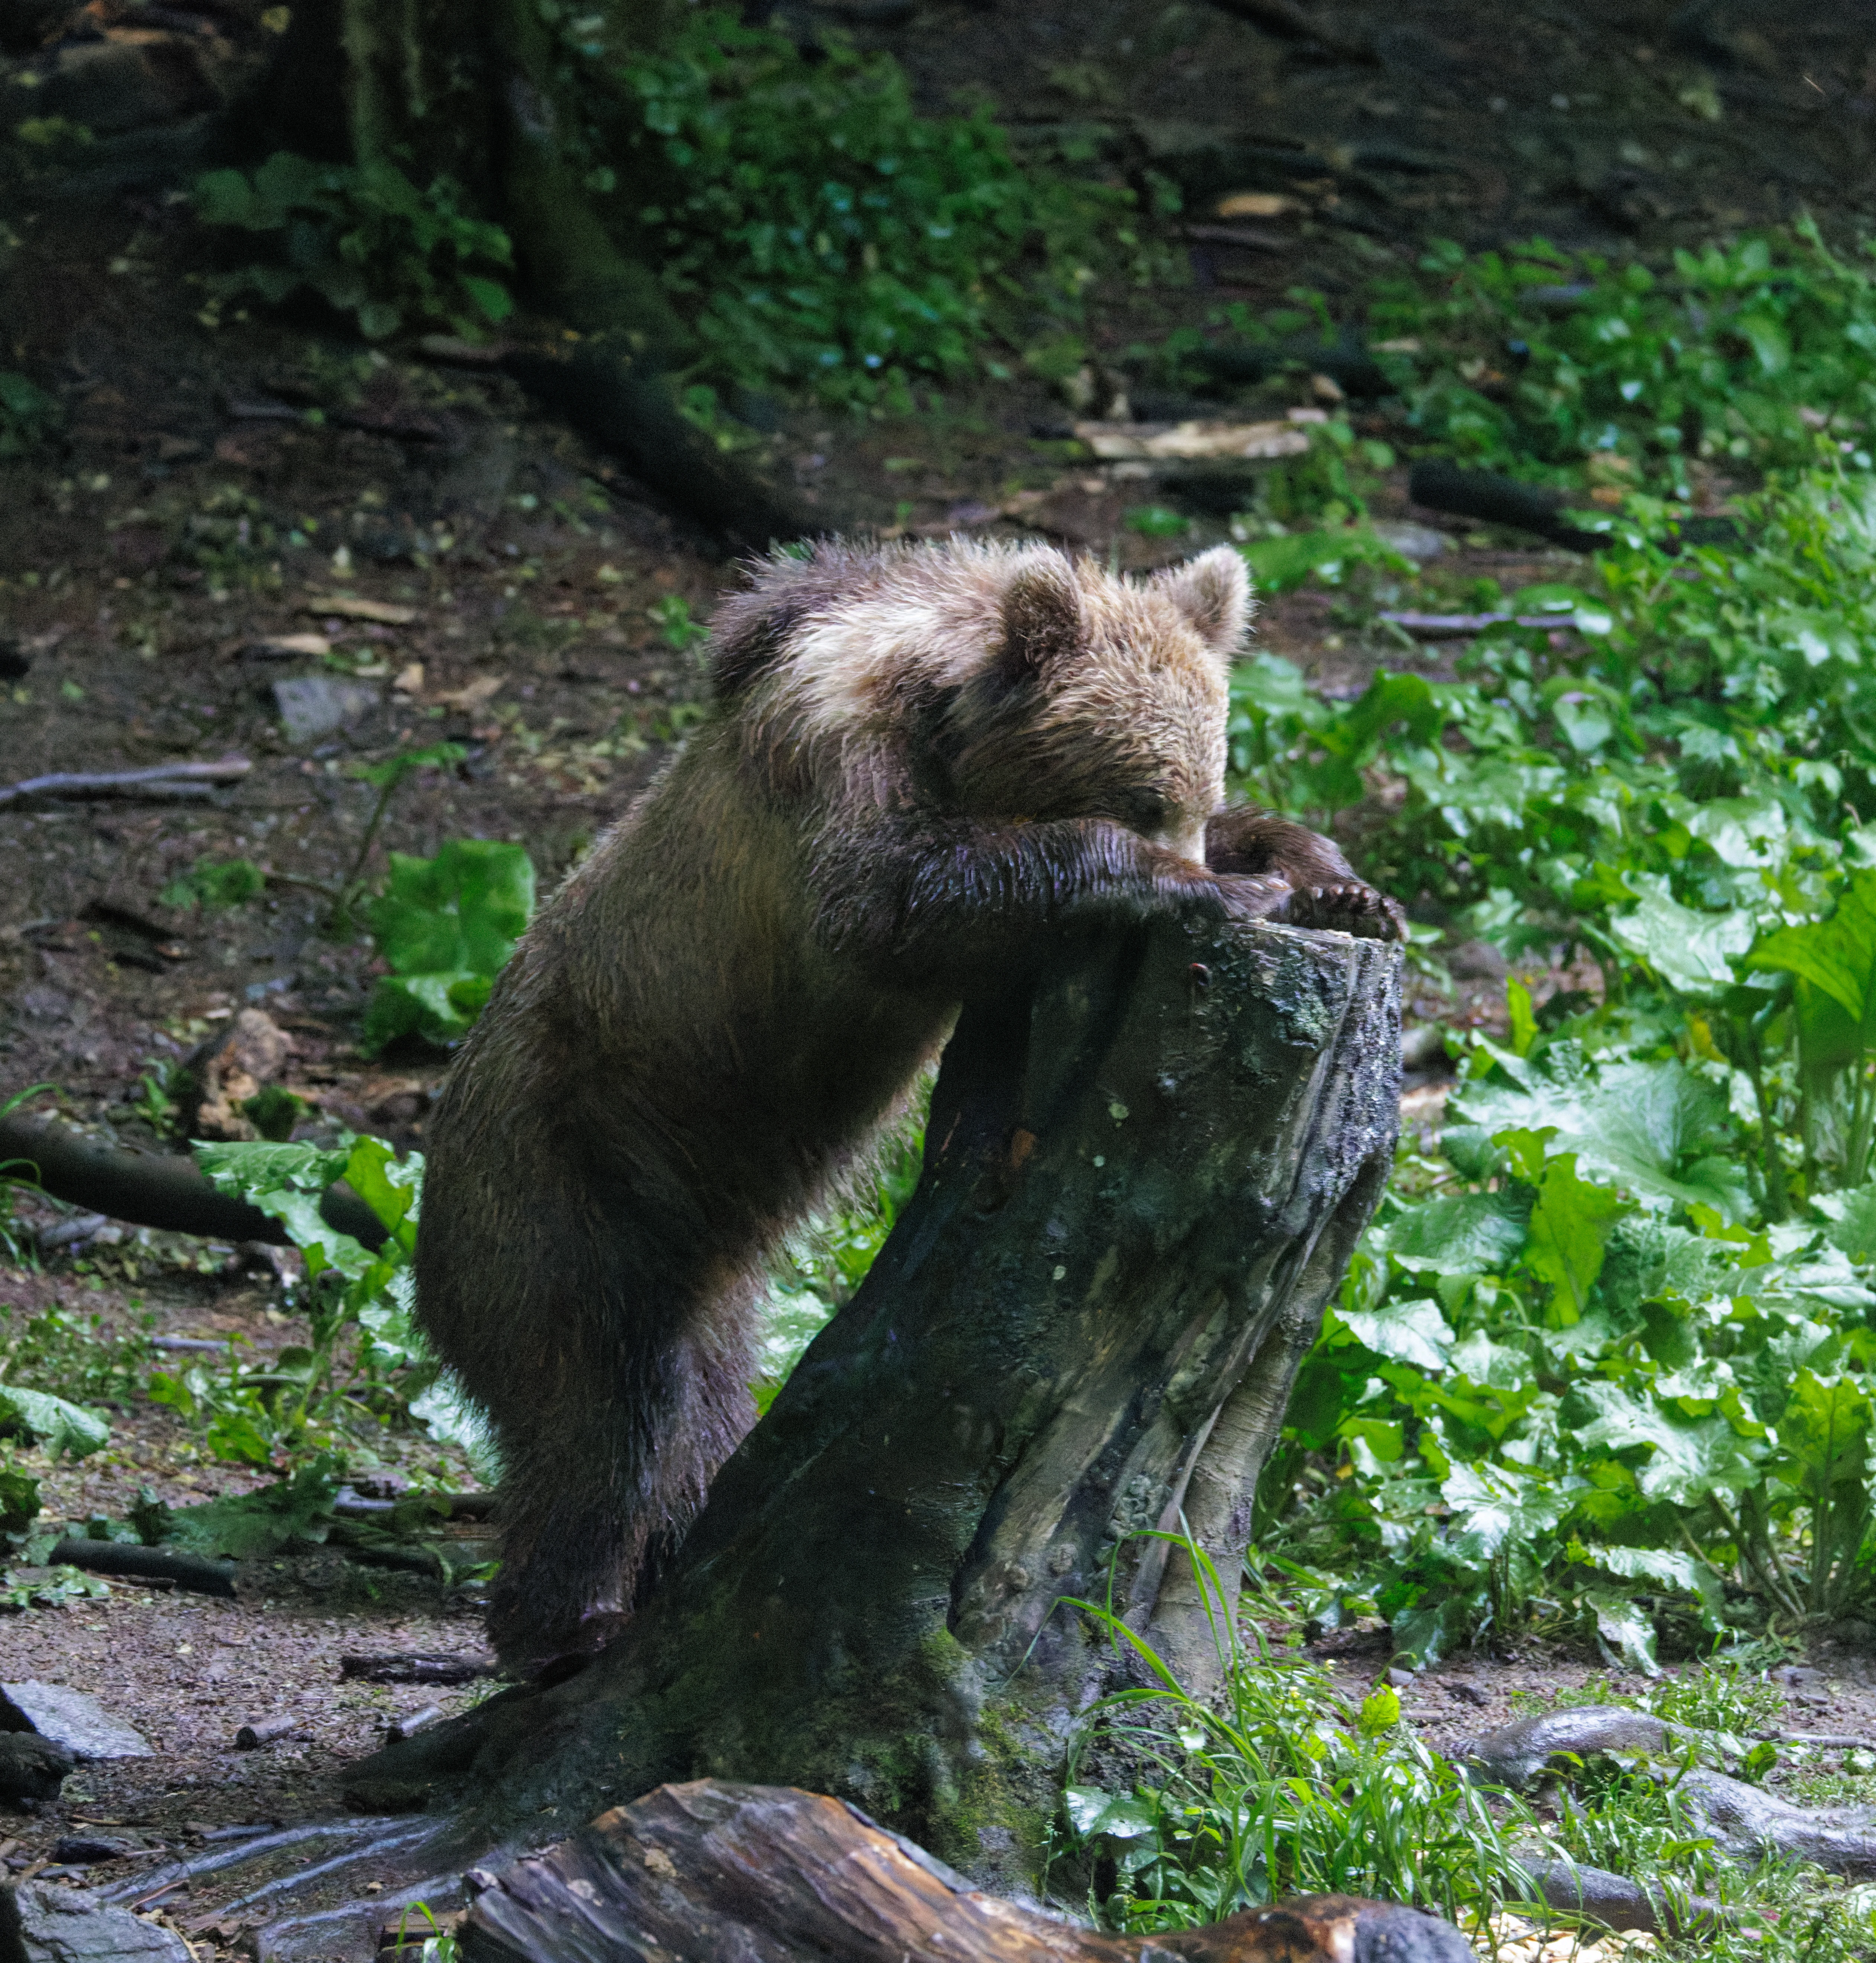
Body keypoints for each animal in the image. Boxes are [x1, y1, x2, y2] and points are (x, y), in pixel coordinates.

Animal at [414, 538, 1402, 1667]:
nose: (1199, 853)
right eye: (1145, 793)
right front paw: (1209, 888)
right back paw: (569, 1621)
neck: (941, 719)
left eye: (1206, 779)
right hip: (570, 1170)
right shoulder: (831, 764)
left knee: (697, 1406)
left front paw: (1329, 882)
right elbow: (890, 901)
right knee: (603, 1407)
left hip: (707, 1261)